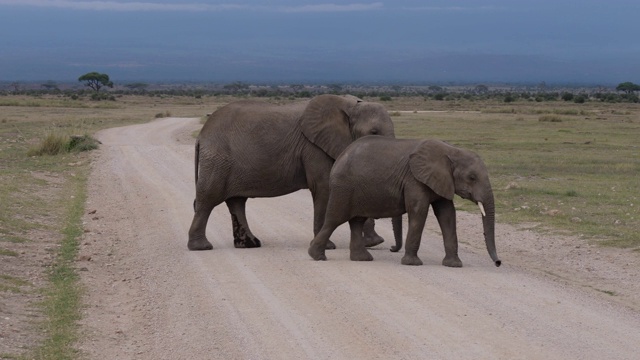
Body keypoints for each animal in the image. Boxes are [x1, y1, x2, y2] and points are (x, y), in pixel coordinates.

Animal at [188, 95, 396, 250]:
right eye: (374, 132)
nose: (386, 245)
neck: (350, 105)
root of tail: (201, 135)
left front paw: (372, 243)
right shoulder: (313, 148)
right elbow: (324, 188)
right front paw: (328, 247)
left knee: (236, 201)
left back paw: (250, 244)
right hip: (217, 159)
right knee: (208, 199)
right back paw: (202, 247)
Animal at [308, 136, 502, 268]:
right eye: (472, 177)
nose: (498, 262)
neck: (452, 151)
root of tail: (340, 157)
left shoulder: (441, 181)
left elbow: (447, 214)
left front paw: (454, 265)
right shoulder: (414, 180)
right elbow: (419, 211)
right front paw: (412, 263)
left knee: (357, 221)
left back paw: (362, 259)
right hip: (343, 187)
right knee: (335, 219)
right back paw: (317, 256)